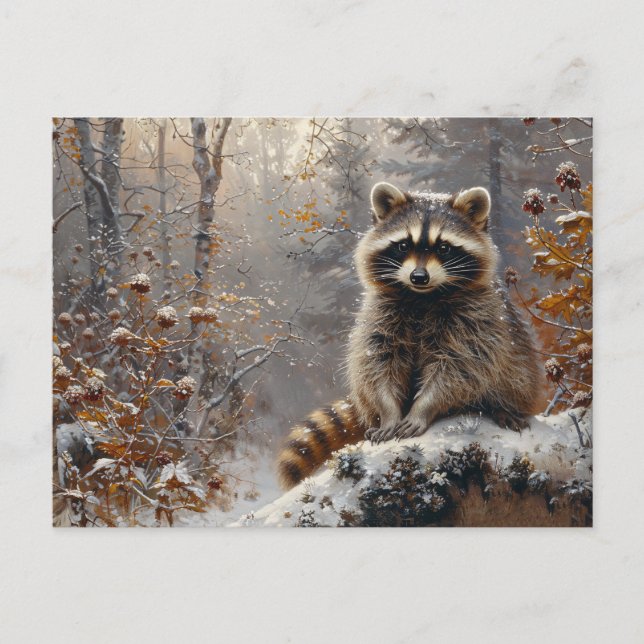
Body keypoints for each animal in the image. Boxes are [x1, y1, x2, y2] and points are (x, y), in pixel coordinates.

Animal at [277, 182, 540, 488]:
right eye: (403, 245)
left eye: (444, 247)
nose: (419, 276)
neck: (421, 297)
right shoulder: (379, 315)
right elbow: (378, 363)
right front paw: (390, 413)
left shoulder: (477, 319)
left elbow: (459, 369)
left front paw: (423, 408)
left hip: (519, 378)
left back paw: (499, 408)